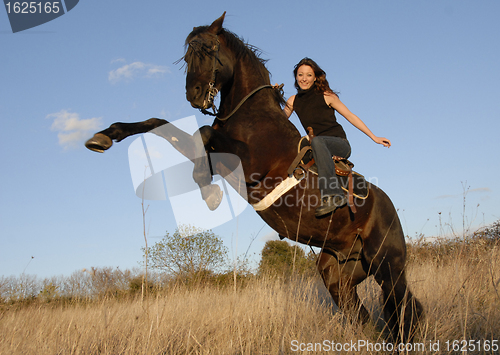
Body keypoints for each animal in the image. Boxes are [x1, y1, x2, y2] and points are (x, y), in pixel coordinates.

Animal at [85, 12, 422, 344]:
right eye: (186, 56)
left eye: (209, 50)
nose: (193, 95)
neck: (249, 115)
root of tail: (388, 207)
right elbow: (165, 126)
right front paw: (105, 136)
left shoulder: (247, 164)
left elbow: (203, 133)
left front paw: (209, 193)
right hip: (339, 271)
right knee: (364, 314)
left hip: (386, 264)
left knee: (404, 306)